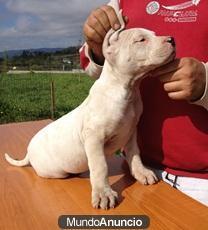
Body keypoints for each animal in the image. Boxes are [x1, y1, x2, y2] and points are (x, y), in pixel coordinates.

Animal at [4, 27, 175, 208]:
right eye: (141, 40)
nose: (172, 39)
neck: (128, 89)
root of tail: (29, 152)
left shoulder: (131, 132)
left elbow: (134, 154)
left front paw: (141, 173)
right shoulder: (94, 137)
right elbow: (100, 166)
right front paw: (103, 194)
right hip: (54, 171)